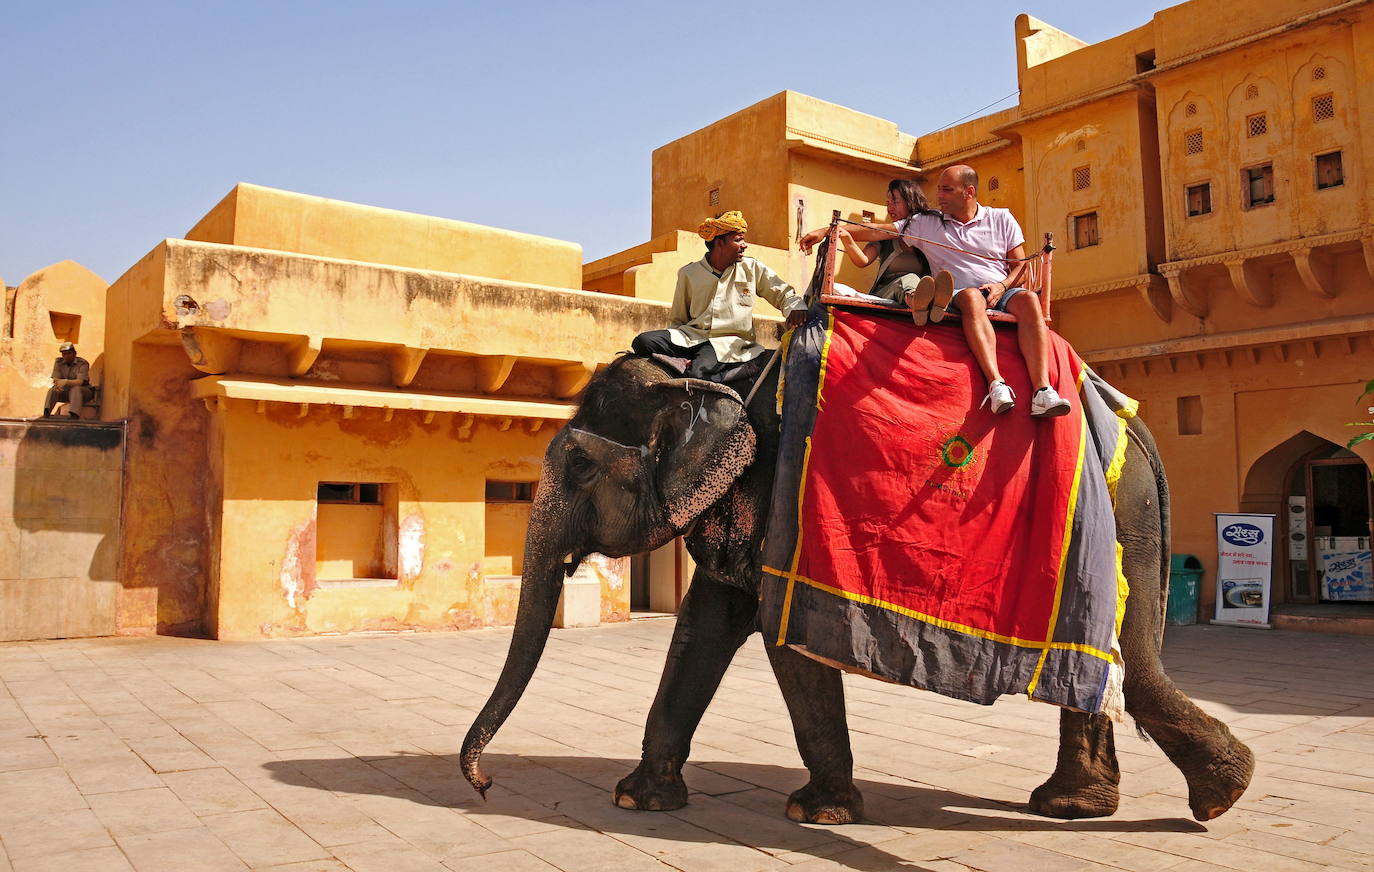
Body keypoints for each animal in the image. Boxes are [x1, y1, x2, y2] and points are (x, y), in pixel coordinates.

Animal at [461, 347, 1258, 823]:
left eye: (580, 467)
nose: (484, 783)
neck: (712, 376)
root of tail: (1138, 432)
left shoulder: (782, 504)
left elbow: (784, 642)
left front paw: (818, 814)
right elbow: (702, 626)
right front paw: (639, 800)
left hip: (1121, 524)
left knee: (1130, 664)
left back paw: (1214, 797)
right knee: (1109, 665)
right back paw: (1087, 806)